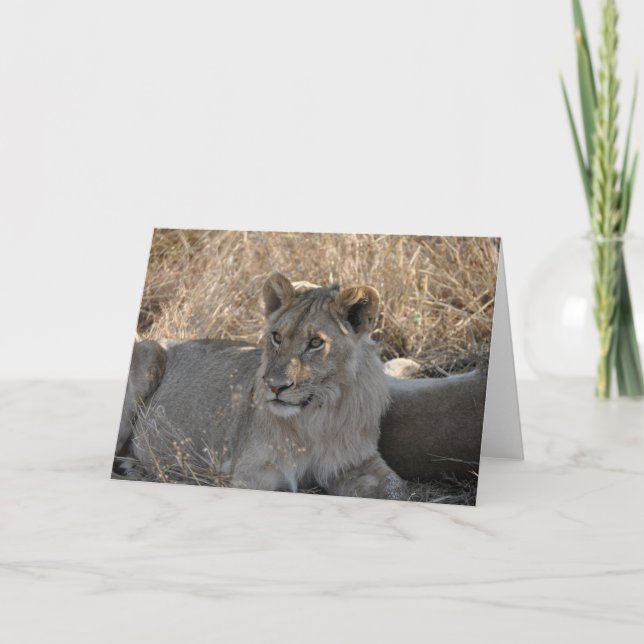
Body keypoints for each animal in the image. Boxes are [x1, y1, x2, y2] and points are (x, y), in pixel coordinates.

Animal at [117, 272, 408, 500]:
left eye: (316, 343)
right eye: (277, 337)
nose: (275, 387)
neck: (316, 419)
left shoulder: (357, 462)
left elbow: (397, 487)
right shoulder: (253, 472)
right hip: (149, 354)